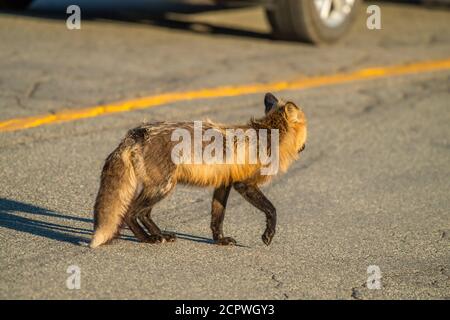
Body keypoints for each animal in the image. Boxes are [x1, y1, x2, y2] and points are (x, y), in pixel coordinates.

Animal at [89, 92, 306, 248]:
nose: (304, 147)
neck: (267, 136)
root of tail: (137, 132)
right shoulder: (244, 184)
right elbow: (272, 209)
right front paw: (268, 234)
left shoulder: (224, 184)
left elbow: (217, 218)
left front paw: (220, 240)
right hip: (163, 187)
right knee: (131, 213)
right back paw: (147, 238)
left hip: (158, 187)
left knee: (143, 214)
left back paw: (159, 234)